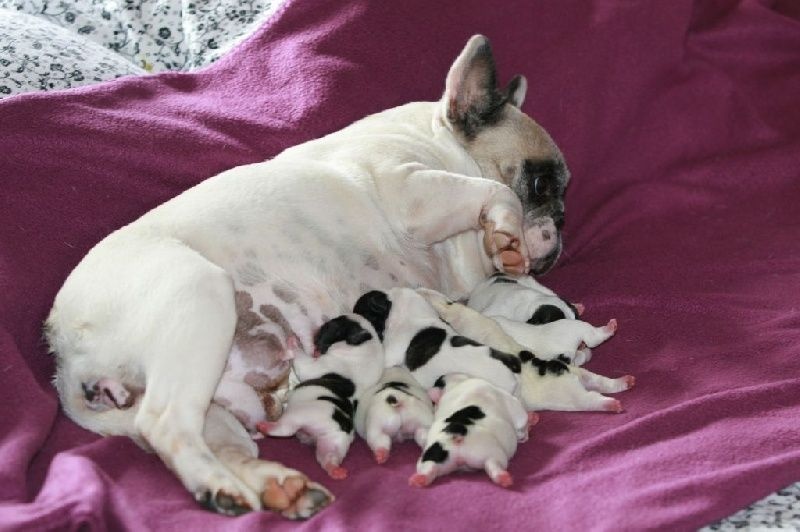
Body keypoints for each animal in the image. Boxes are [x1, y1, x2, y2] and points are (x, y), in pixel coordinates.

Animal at [256, 314, 383, 479]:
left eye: (330, 324)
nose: (317, 328)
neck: (364, 344)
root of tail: (338, 426)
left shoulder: (316, 366)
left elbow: (302, 360)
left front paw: (293, 345)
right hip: (332, 443)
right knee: (328, 457)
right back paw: (335, 470)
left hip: (299, 415)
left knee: (285, 429)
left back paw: (265, 427)